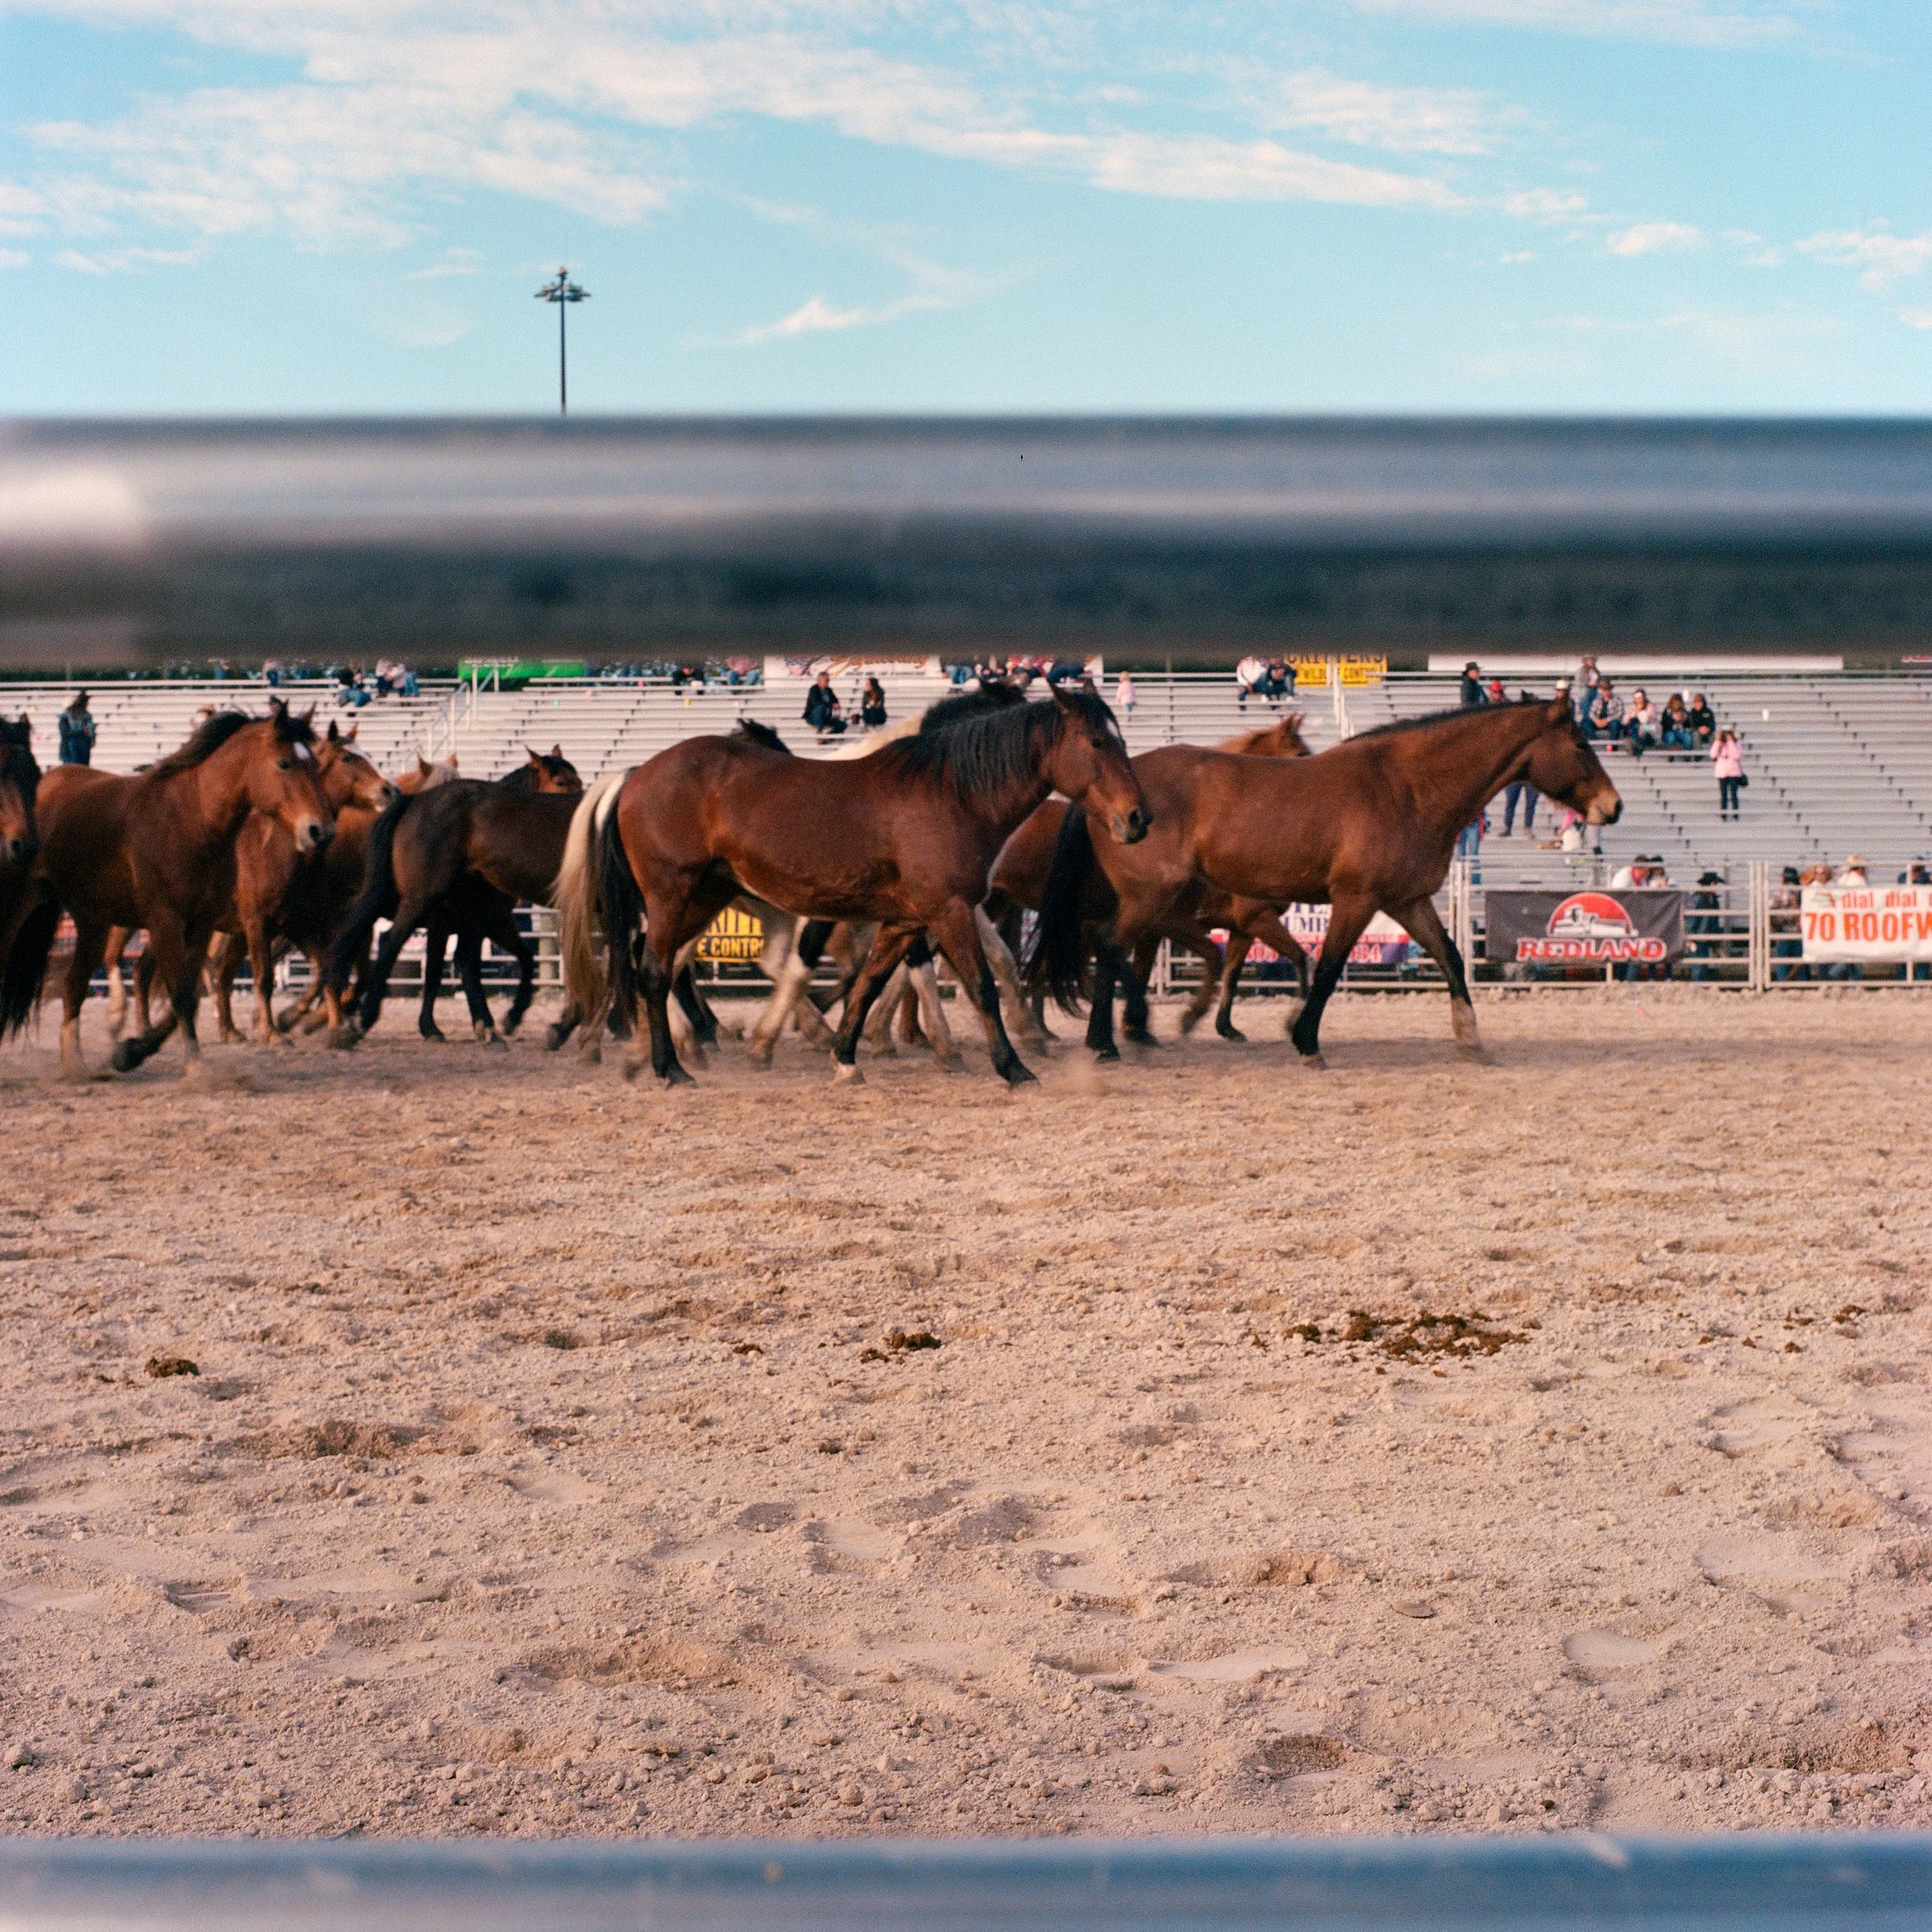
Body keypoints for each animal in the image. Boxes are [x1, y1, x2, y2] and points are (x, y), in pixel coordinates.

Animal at [0, 705, 335, 1076]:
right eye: (284, 763)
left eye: (315, 765)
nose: (321, 830)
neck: (190, 819)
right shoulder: (168, 923)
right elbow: (183, 994)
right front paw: (195, 1068)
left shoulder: (203, 926)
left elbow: (189, 993)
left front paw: (133, 1050)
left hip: (93, 922)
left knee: (75, 988)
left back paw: (76, 1062)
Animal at [324, 747, 581, 1044]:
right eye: (560, 782)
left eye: (578, 780)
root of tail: (412, 804)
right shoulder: (465, 922)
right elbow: (451, 967)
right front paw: (460, 1024)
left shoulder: (482, 921)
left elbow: (504, 961)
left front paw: (483, 1022)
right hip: (415, 902)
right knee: (387, 943)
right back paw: (358, 1016)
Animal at [557, 686, 1148, 1087]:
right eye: (1098, 741)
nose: (1138, 819)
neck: (952, 792)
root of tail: (636, 773)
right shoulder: (949, 910)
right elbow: (980, 984)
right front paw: (1012, 1065)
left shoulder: (905, 919)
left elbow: (869, 983)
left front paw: (845, 1058)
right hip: (671, 897)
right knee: (654, 971)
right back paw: (669, 1066)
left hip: (703, 898)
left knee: (656, 966)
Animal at [988, 712, 1315, 1044]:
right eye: (1301, 755)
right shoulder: (1233, 919)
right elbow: (1289, 957)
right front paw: (1141, 1025)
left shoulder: (1240, 928)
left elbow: (1231, 974)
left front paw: (1223, 1026)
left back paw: (1044, 1027)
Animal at [1034, 697, 1621, 1066]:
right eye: (1581, 745)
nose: (1612, 808)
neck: (1405, 786)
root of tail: (1110, 794)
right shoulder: (1355, 900)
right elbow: (1328, 966)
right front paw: (1305, 1039)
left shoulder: (1408, 902)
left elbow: (1451, 958)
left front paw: (1471, 1039)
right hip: (1149, 898)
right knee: (1109, 946)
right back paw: (1109, 1039)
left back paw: (1117, 1036)